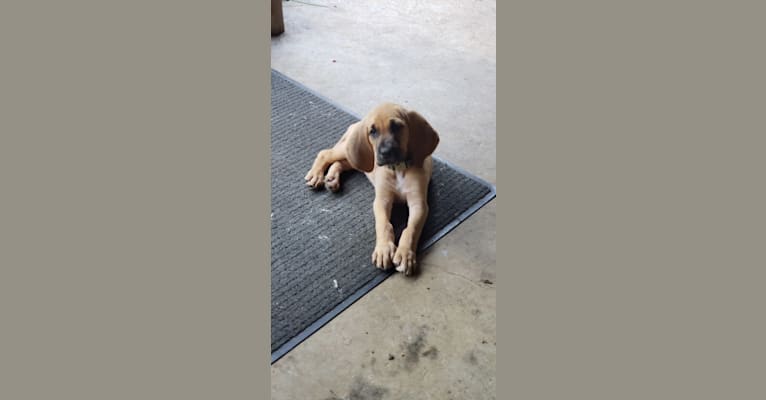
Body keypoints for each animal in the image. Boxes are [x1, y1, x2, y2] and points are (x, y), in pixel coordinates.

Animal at [304, 103, 440, 276]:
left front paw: (405, 254)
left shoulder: (419, 204)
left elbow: (411, 229)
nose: (385, 152)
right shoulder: (382, 200)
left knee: (341, 162)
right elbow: (383, 224)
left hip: (357, 158)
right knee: (325, 153)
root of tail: (358, 123)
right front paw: (384, 250)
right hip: (352, 151)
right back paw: (316, 175)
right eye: (372, 131)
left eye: (397, 126)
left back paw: (332, 178)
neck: (398, 168)